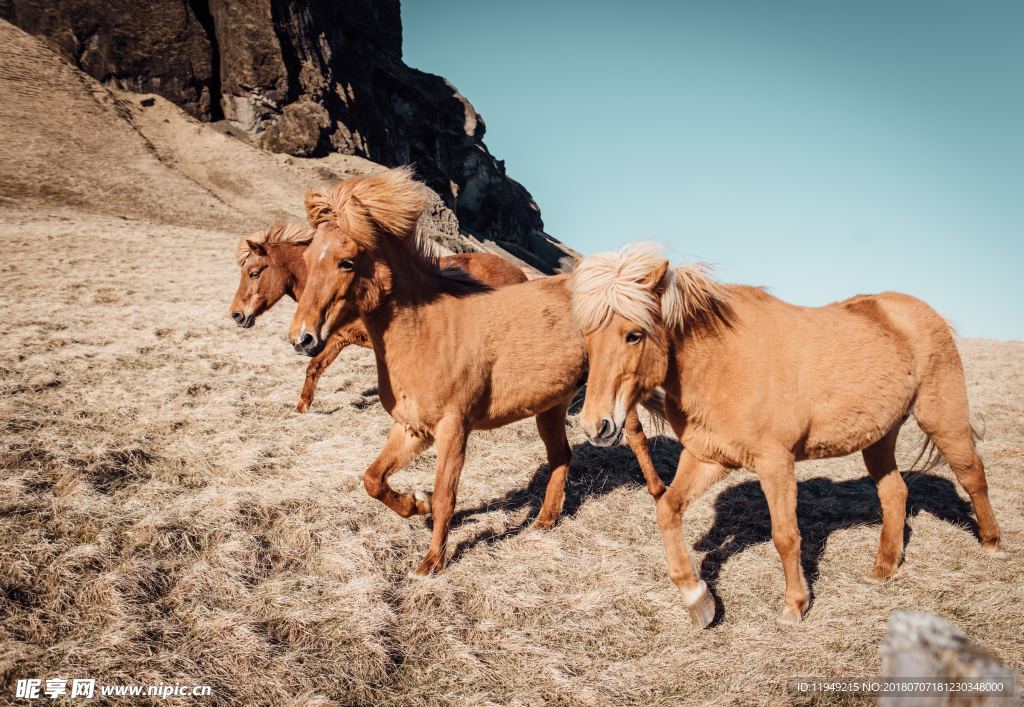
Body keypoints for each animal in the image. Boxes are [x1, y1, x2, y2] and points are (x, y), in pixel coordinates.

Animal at [286, 169, 663, 573]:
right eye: (306, 257)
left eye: (346, 262)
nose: (302, 338)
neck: (428, 331)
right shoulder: (411, 428)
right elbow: (373, 479)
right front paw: (414, 504)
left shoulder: (453, 429)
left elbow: (445, 496)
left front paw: (432, 562)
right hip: (551, 406)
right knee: (561, 455)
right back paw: (545, 521)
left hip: (608, 395)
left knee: (635, 436)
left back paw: (658, 492)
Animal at [573, 243, 1003, 627]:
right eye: (587, 336)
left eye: (633, 334)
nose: (597, 426)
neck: (722, 361)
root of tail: (923, 311)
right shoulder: (708, 457)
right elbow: (667, 509)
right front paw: (698, 599)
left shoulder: (776, 463)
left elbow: (785, 535)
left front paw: (795, 605)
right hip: (878, 436)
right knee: (895, 492)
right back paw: (883, 568)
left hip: (941, 418)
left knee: (972, 474)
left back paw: (992, 545)